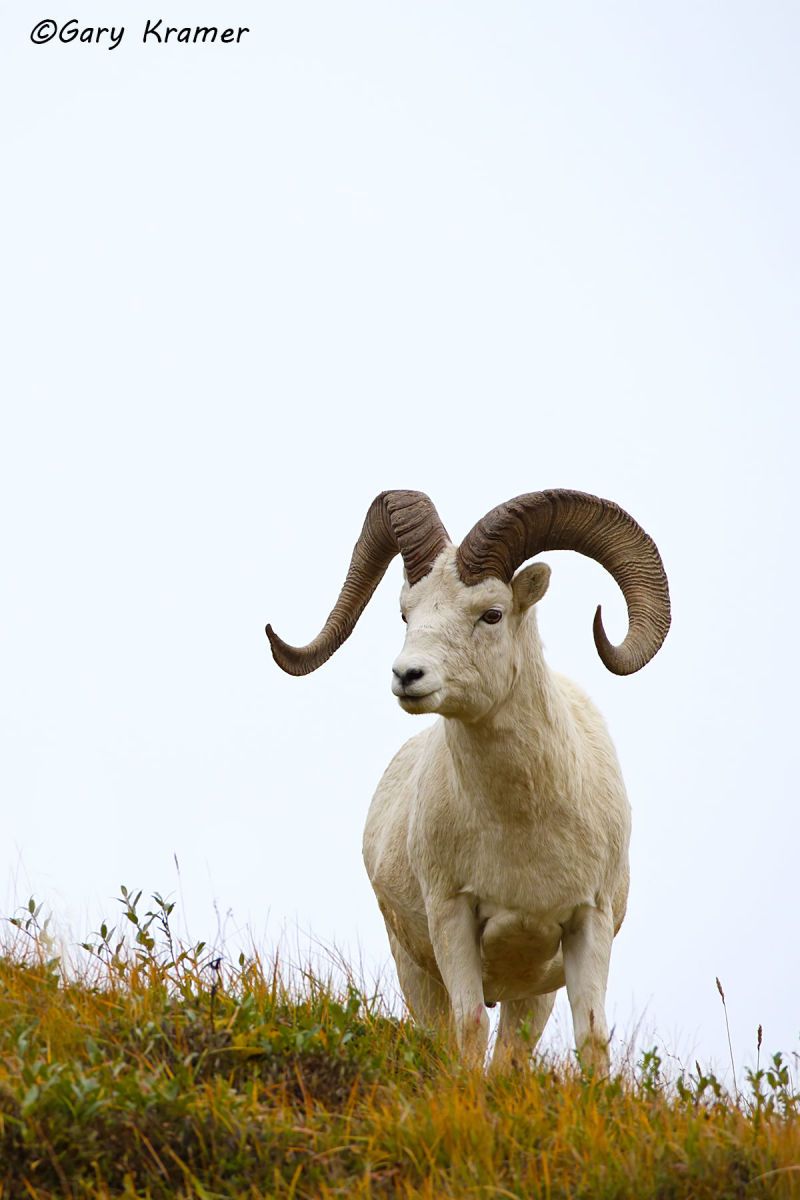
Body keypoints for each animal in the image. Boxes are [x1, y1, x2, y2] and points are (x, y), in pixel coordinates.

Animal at [266, 489, 670, 1072]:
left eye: (492, 614)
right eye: (406, 612)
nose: (408, 676)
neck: (523, 828)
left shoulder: (586, 925)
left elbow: (591, 1039)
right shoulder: (452, 916)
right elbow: (468, 1028)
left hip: (530, 997)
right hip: (417, 972)